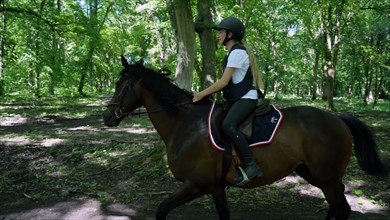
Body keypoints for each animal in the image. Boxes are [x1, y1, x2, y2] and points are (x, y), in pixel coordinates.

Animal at [102, 55, 386, 220]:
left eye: (120, 85)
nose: (106, 117)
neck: (185, 124)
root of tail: (337, 118)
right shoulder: (215, 188)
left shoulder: (196, 184)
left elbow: (161, 210)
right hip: (313, 173)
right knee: (337, 204)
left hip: (325, 176)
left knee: (342, 207)